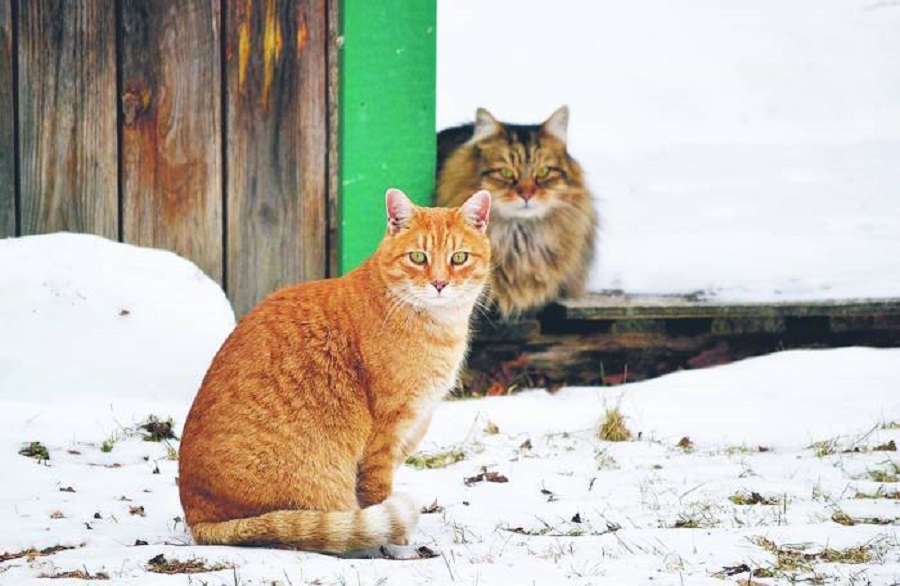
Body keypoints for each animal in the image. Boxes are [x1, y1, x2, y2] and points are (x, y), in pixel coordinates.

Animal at [178, 187, 492, 552]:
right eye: (417, 257)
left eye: (459, 258)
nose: (439, 283)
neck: (437, 325)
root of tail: (197, 518)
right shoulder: (386, 433)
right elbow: (377, 493)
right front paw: (397, 543)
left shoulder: (412, 427)